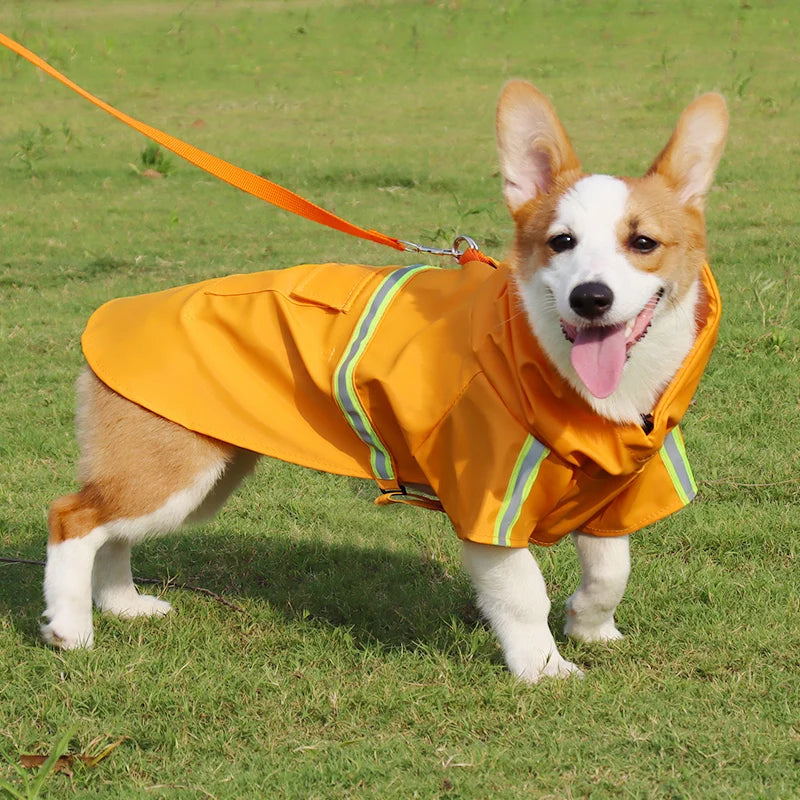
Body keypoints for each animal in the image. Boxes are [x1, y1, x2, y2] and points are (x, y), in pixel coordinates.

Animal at [45, 79, 732, 680]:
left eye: (643, 243)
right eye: (561, 242)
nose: (591, 298)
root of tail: (114, 315)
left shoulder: (612, 495)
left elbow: (610, 570)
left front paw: (591, 628)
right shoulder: (487, 511)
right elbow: (523, 595)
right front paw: (542, 668)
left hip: (206, 473)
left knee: (111, 530)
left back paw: (122, 604)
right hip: (174, 474)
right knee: (73, 517)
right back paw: (69, 627)